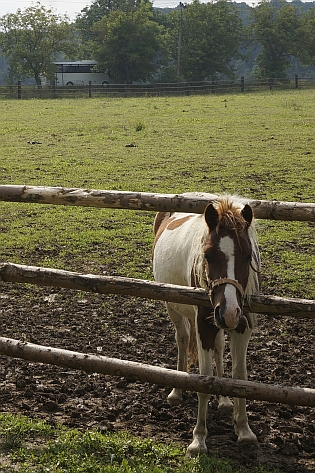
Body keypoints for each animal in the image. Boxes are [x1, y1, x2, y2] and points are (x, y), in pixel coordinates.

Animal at [153, 194, 262, 456]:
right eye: (209, 255)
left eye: (247, 256)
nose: (229, 312)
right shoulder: (203, 325)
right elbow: (204, 378)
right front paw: (198, 439)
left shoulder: (241, 327)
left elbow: (239, 376)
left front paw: (244, 430)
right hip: (173, 307)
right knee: (182, 339)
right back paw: (176, 392)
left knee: (219, 347)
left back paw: (223, 401)